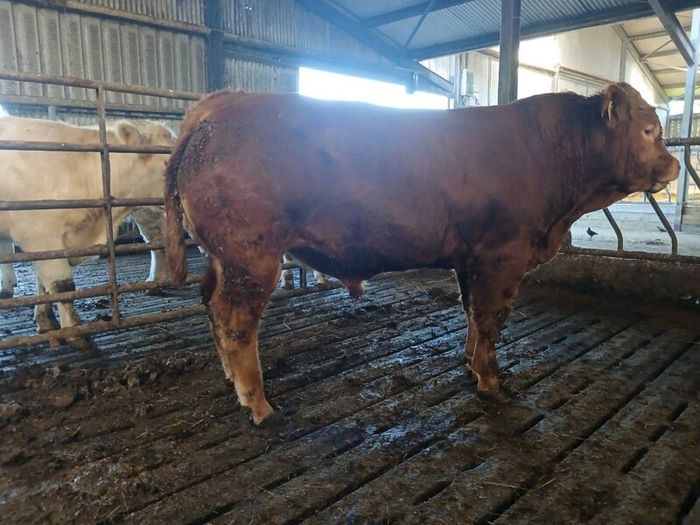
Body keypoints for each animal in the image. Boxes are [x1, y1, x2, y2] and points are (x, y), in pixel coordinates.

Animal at [164, 83, 679, 425]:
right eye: (649, 129)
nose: (675, 164)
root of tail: (220, 105)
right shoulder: (501, 254)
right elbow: (491, 319)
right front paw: (491, 383)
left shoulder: (470, 257)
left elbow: (471, 313)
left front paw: (470, 364)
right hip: (251, 255)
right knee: (235, 321)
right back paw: (259, 404)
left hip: (225, 257)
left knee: (211, 304)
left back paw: (233, 383)